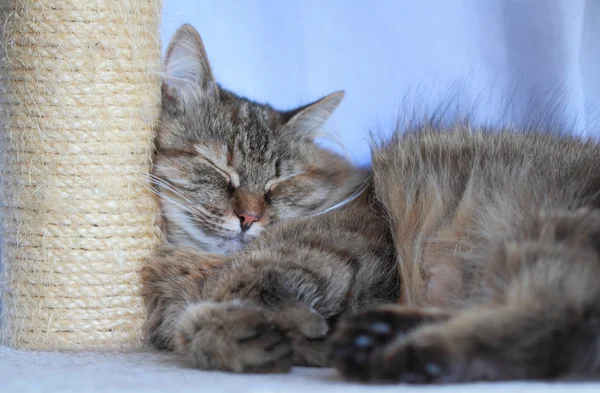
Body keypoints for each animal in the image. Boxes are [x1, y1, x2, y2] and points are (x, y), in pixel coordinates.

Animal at [142, 24, 600, 382]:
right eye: (218, 167)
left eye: (280, 182)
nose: (249, 217)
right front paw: (260, 335)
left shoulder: (342, 253)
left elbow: (243, 284)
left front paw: (261, 326)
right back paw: (375, 335)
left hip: (537, 232)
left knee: (554, 323)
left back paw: (400, 352)